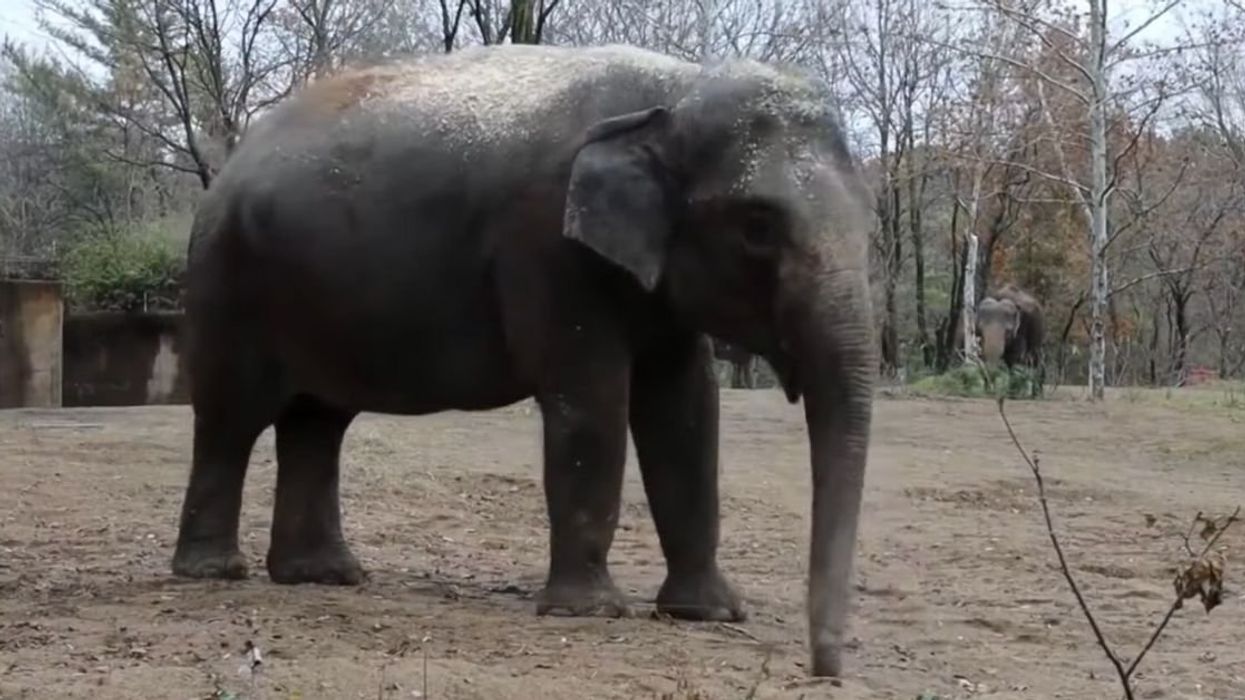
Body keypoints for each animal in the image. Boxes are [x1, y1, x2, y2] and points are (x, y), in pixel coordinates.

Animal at [169, 43, 876, 678]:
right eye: (757, 227)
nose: (825, 670)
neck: (676, 87)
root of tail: (226, 167)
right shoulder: (549, 250)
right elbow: (591, 403)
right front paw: (591, 613)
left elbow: (686, 413)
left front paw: (711, 614)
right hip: (227, 284)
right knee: (231, 421)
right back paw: (215, 572)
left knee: (317, 423)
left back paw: (324, 576)